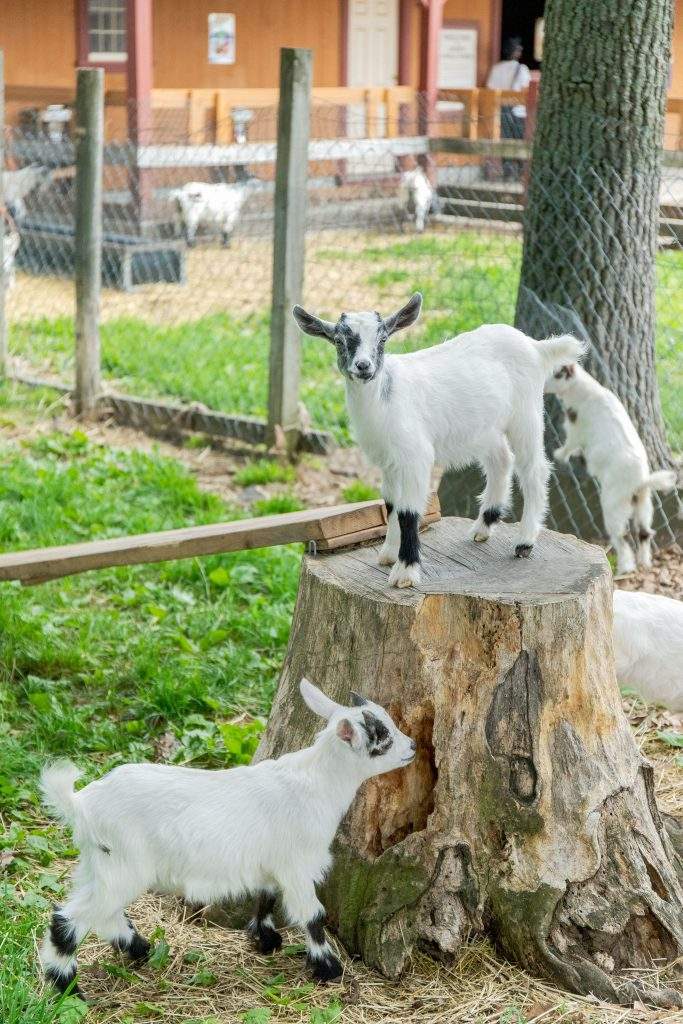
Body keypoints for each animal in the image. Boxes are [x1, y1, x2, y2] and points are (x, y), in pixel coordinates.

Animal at [39, 679, 415, 997]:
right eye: (382, 738)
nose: (413, 746)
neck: (318, 782)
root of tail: (81, 803)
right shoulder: (297, 865)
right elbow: (312, 915)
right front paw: (328, 967)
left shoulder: (270, 862)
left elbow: (265, 897)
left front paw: (266, 939)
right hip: (122, 866)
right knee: (69, 920)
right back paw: (67, 986)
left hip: (97, 865)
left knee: (99, 913)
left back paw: (140, 950)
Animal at [293, 293, 585, 587]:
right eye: (339, 341)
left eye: (383, 339)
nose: (364, 366)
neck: (383, 398)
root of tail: (536, 347)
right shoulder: (389, 461)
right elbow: (391, 505)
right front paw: (388, 554)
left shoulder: (416, 456)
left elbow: (408, 512)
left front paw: (405, 572)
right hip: (485, 426)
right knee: (501, 461)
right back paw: (484, 526)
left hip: (526, 414)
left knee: (534, 470)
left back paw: (524, 542)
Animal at [545, 363, 677, 576]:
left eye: (555, 374)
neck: (588, 390)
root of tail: (641, 481)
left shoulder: (576, 429)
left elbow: (570, 444)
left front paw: (559, 455)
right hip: (644, 504)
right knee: (645, 532)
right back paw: (644, 562)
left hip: (614, 504)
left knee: (622, 535)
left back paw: (624, 567)